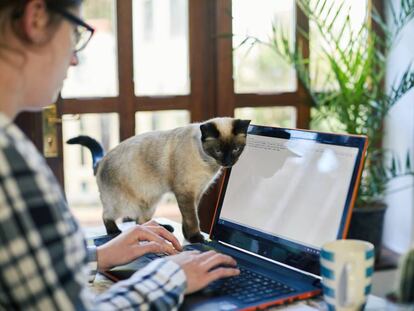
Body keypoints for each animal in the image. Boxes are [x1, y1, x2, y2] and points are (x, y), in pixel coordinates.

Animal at [67, 117, 249, 244]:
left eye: (236, 149)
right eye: (218, 151)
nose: (228, 162)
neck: (208, 163)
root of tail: (102, 160)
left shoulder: (197, 193)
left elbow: (188, 217)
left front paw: (187, 235)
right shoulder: (186, 192)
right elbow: (192, 218)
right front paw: (195, 238)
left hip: (150, 202)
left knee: (141, 222)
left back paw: (162, 228)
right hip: (123, 203)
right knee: (108, 215)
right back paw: (115, 232)